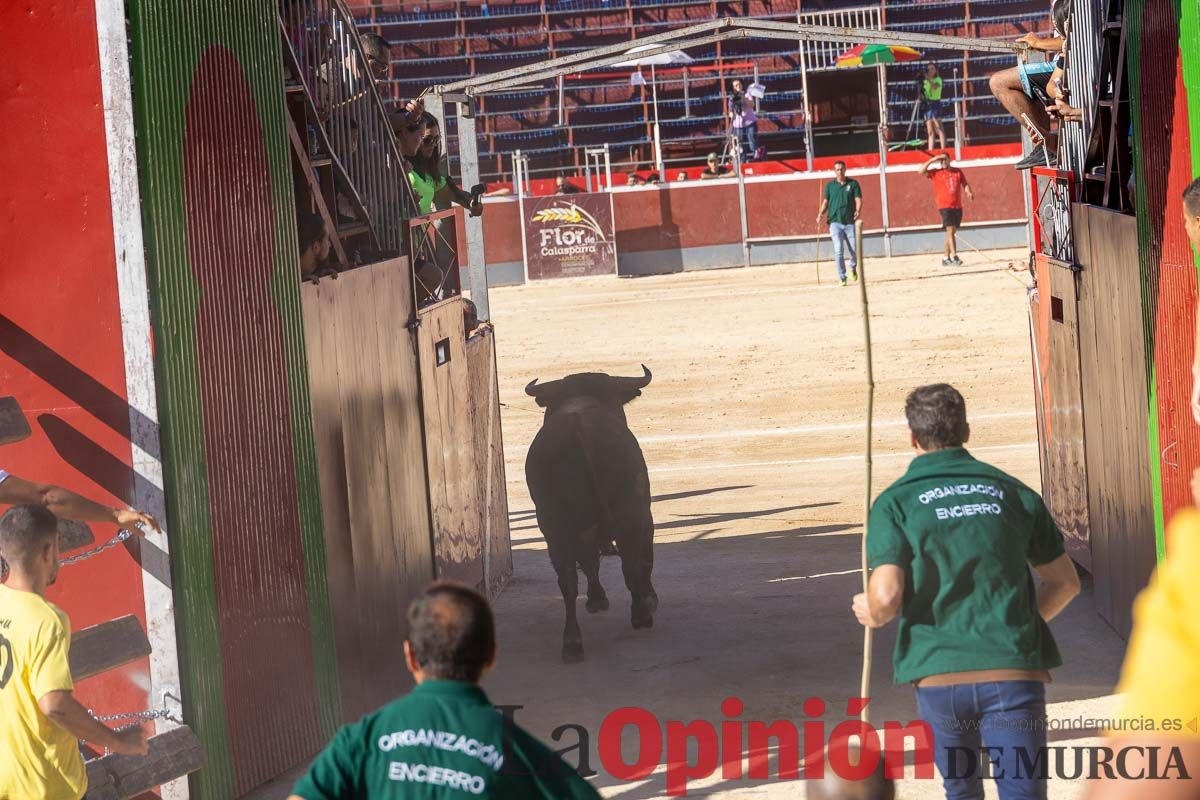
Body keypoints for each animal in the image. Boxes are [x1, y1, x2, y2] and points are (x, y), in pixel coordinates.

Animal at [523, 367, 657, 662]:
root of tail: (579, 428)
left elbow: (588, 562)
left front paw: (597, 599)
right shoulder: (645, 511)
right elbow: (644, 559)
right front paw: (649, 598)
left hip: (553, 525)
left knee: (568, 579)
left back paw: (572, 643)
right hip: (630, 511)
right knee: (632, 562)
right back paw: (641, 615)